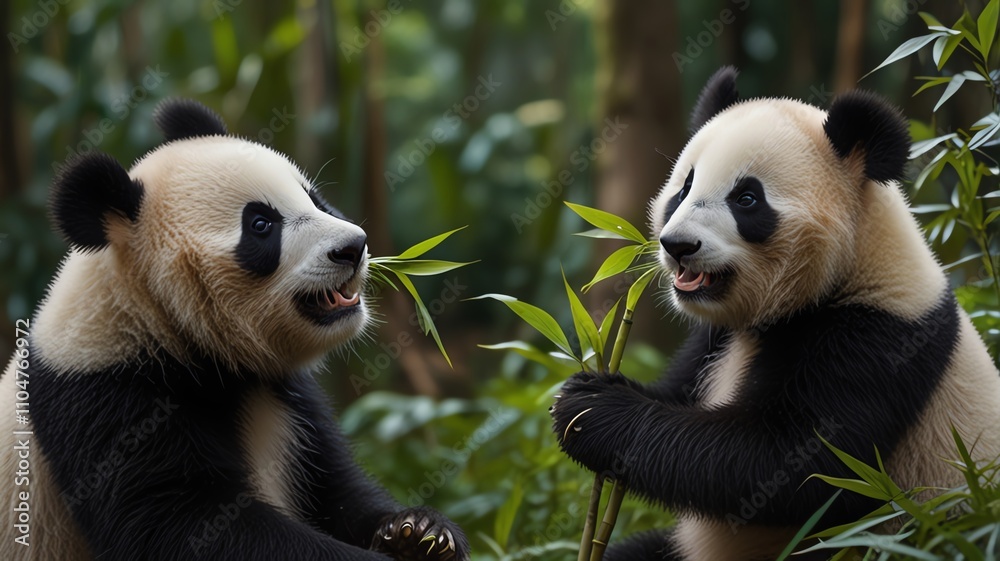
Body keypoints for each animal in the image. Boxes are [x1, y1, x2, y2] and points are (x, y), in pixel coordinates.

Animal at [0, 99, 469, 561]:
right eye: (261, 225)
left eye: (314, 198)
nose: (353, 247)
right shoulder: (107, 402)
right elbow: (187, 530)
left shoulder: (290, 400)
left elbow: (338, 492)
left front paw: (420, 533)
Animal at [550, 67, 1000, 561]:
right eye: (684, 188)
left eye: (747, 199)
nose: (678, 246)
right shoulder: (716, 339)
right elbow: (681, 396)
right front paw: (584, 389)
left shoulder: (880, 338)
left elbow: (781, 462)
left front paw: (590, 409)